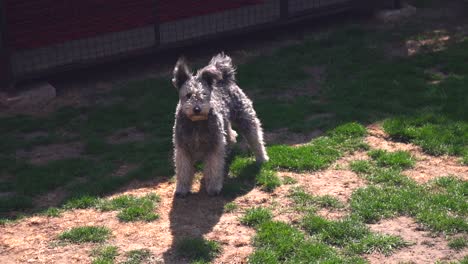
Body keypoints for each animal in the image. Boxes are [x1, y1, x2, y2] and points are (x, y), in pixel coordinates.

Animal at [172, 52, 268, 197]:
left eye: (204, 94)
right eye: (188, 95)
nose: (197, 109)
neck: (197, 123)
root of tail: (225, 79)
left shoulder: (214, 146)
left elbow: (213, 168)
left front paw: (213, 187)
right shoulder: (183, 149)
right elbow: (183, 171)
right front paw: (182, 189)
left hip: (246, 119)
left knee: (256, 140)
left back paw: (262, 159)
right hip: (226, 124)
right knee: (231, 136)